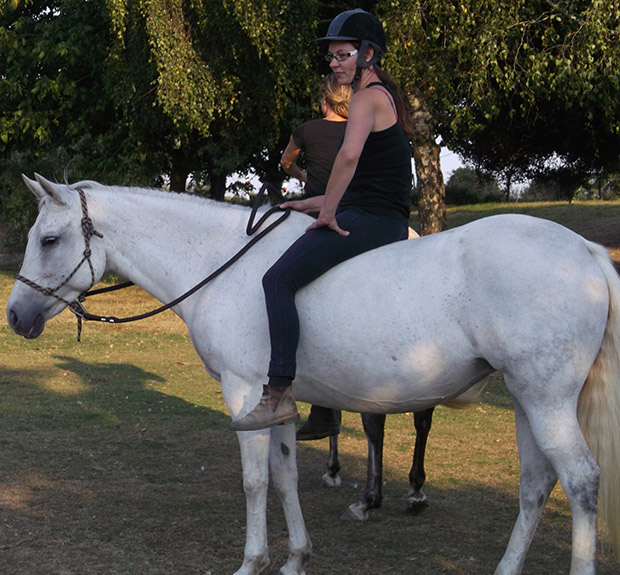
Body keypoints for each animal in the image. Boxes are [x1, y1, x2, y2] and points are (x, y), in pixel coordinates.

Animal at [6, 176, 620, 575]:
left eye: (50, 240)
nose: (15, 316)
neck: (222, 264)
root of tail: (586, 252)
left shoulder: (243, 392)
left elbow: (255, 481)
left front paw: (253, 562)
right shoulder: (275, 400)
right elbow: (284, 477)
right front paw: (296, 558)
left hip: (545, 401)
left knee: (581, 483)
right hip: (526, 402)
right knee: (536, 486)